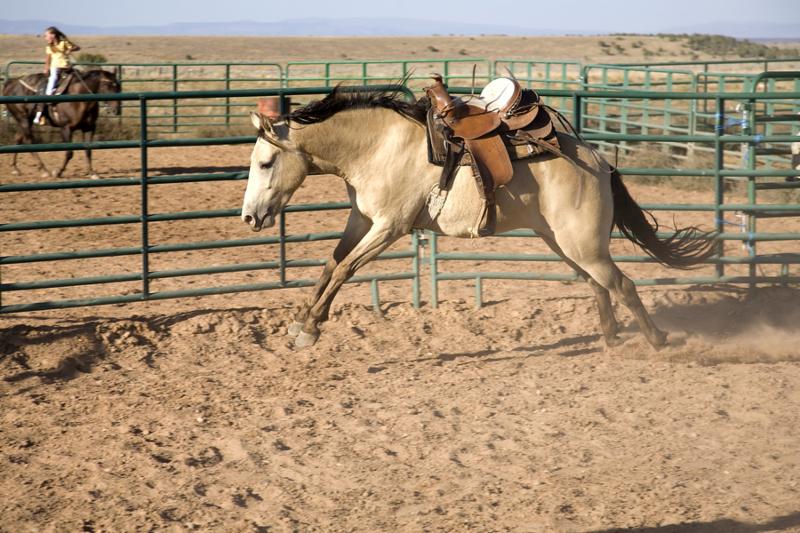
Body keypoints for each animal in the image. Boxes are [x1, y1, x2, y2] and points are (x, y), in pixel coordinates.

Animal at [240, 87, 716, 349]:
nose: (248, 217)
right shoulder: (362, 219)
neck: (378, 146)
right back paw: (612, 337)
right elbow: (331, 265)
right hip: (563, 242)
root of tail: (599, 163)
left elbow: (344, 271)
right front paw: (300, 322)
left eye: (265, 163)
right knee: (599, 284)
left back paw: (656, 340)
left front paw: (309, 329)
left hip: (583, 244)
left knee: (622, 284)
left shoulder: (390, 226)